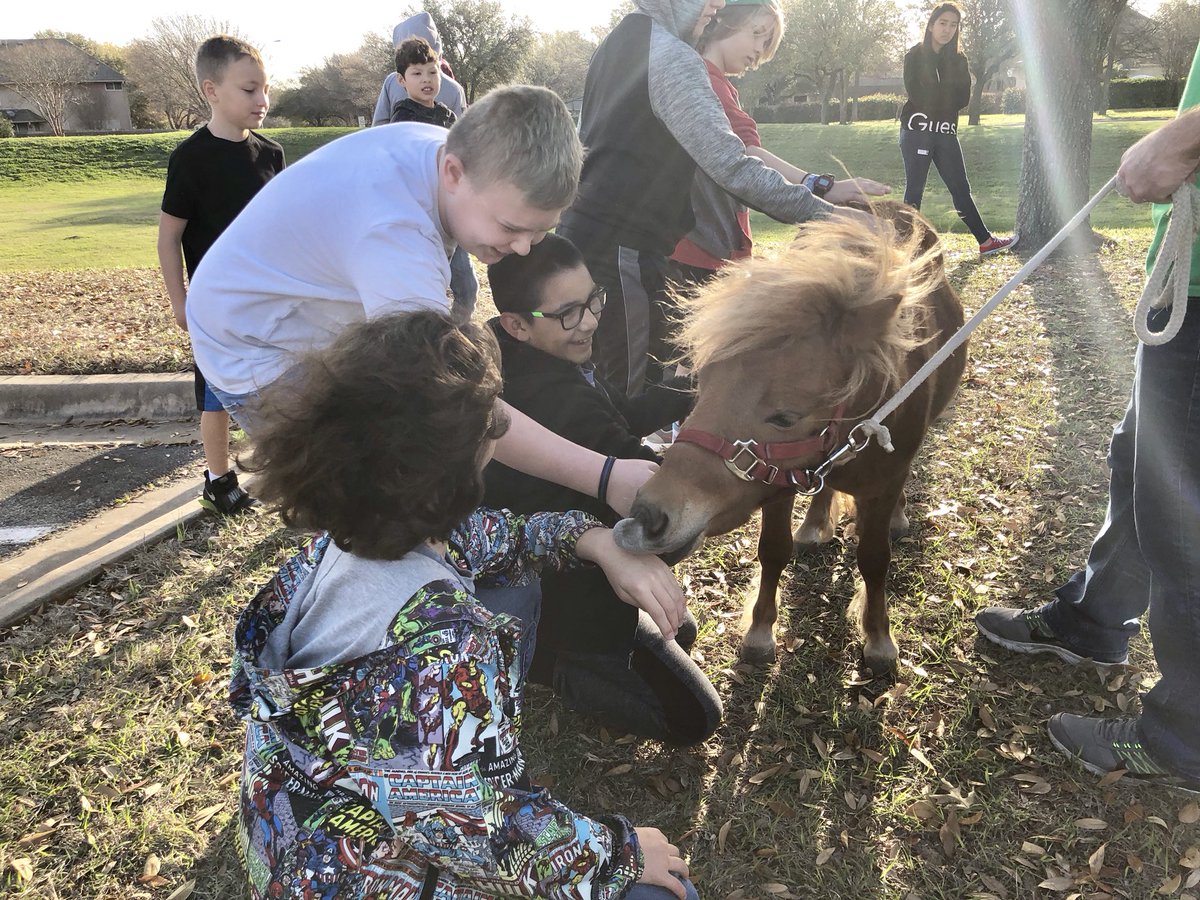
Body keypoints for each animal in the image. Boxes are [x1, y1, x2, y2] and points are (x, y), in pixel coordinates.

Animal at [614, 202, 966, 674]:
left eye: (784, 417)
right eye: (701, 386)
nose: (650, 516)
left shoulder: (883, 483)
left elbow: (874, 560)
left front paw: (878, 639)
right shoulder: (778, 483)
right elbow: (773, 551)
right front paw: (760, 632)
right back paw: (815, 524)